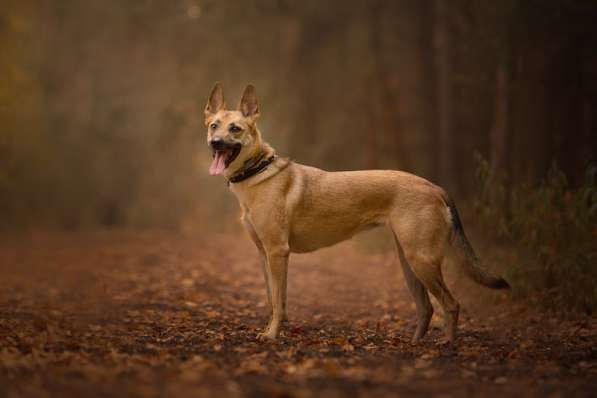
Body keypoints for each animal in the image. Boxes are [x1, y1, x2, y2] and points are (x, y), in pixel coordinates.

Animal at [205, 83, 508, 342]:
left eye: (235, 129)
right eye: (213, 126)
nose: (215, 142)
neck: (257, 171)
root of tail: (436, 187)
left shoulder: (278, 251)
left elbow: (278, 301)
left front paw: (271, 335)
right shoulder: (264, 253)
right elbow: (274, 299)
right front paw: (276, 329)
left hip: (421, 259)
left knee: (451, 304)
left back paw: (447, 345)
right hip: (409, 262)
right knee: (426, 307)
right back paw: (416, 345)